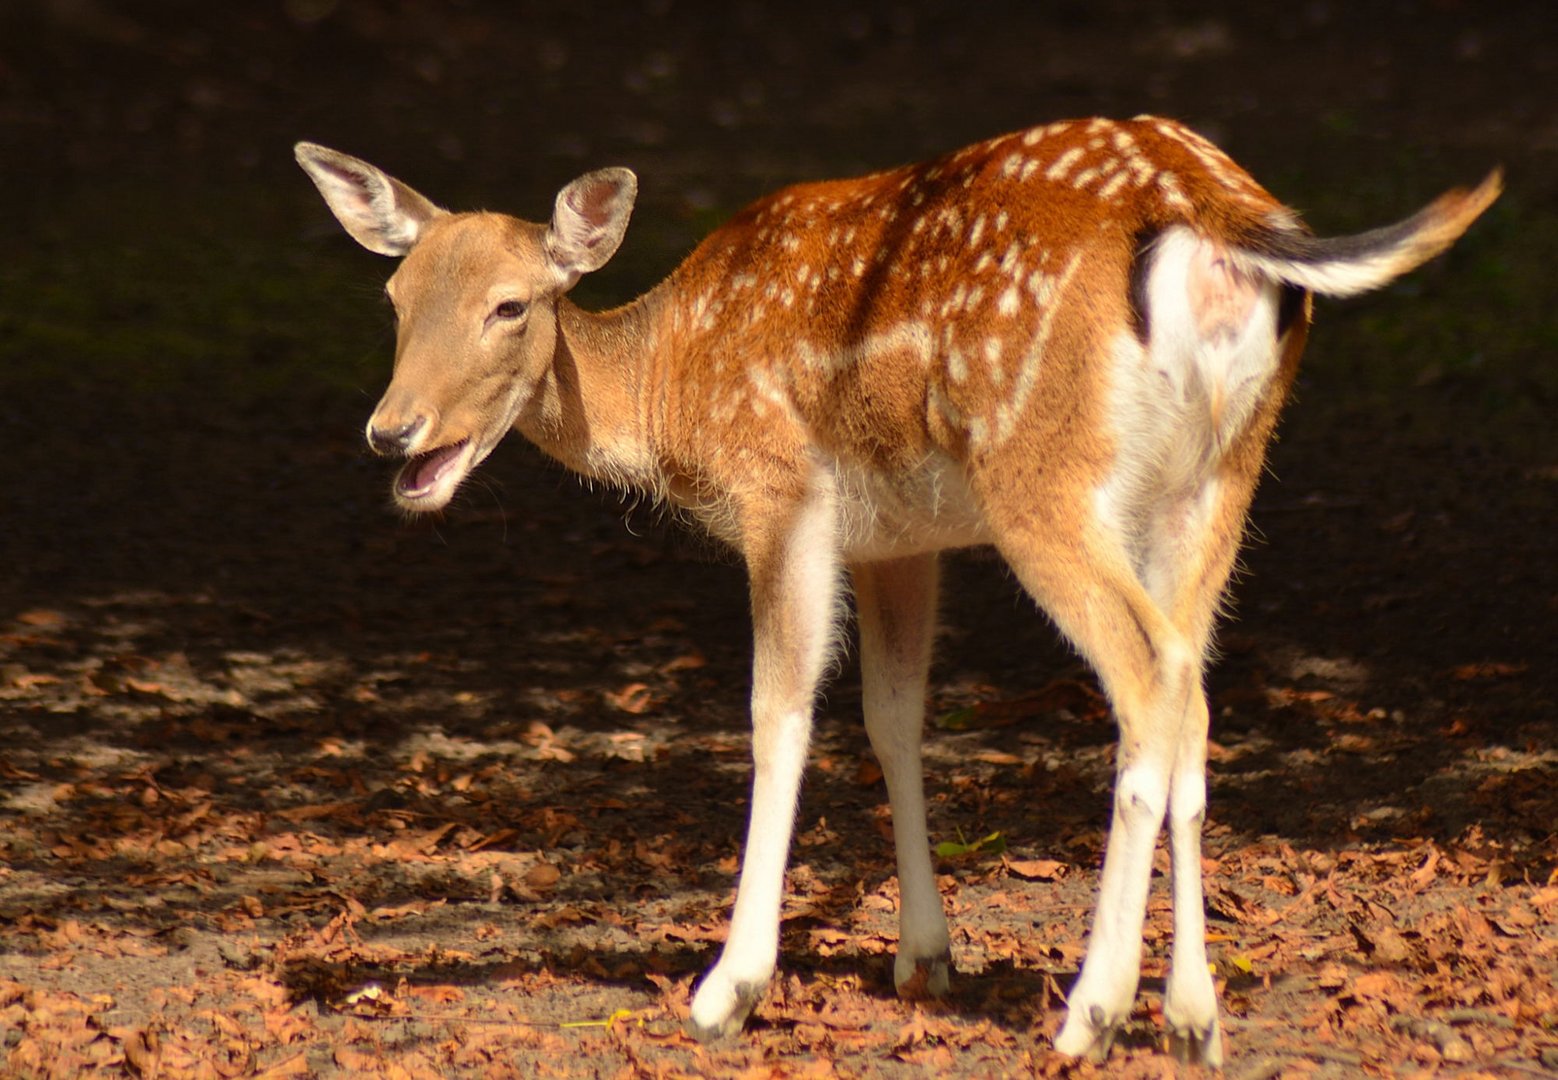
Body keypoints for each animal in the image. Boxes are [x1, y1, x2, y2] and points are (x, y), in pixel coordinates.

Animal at [292, 116, 1495, 1059]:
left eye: (509, 306)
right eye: (394, 295)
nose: (393, 433)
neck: (675, 387)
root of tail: (1215, 213)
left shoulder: (781, 492)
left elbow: (777, 714)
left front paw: (729, 989)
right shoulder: (895, 540)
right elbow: (893, 715)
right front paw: (926, 955)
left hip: (1046, 474)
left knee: (1148, 675)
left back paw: (1091, 1012)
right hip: (1219, 476)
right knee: (1193, 686)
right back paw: (1193, 1016)